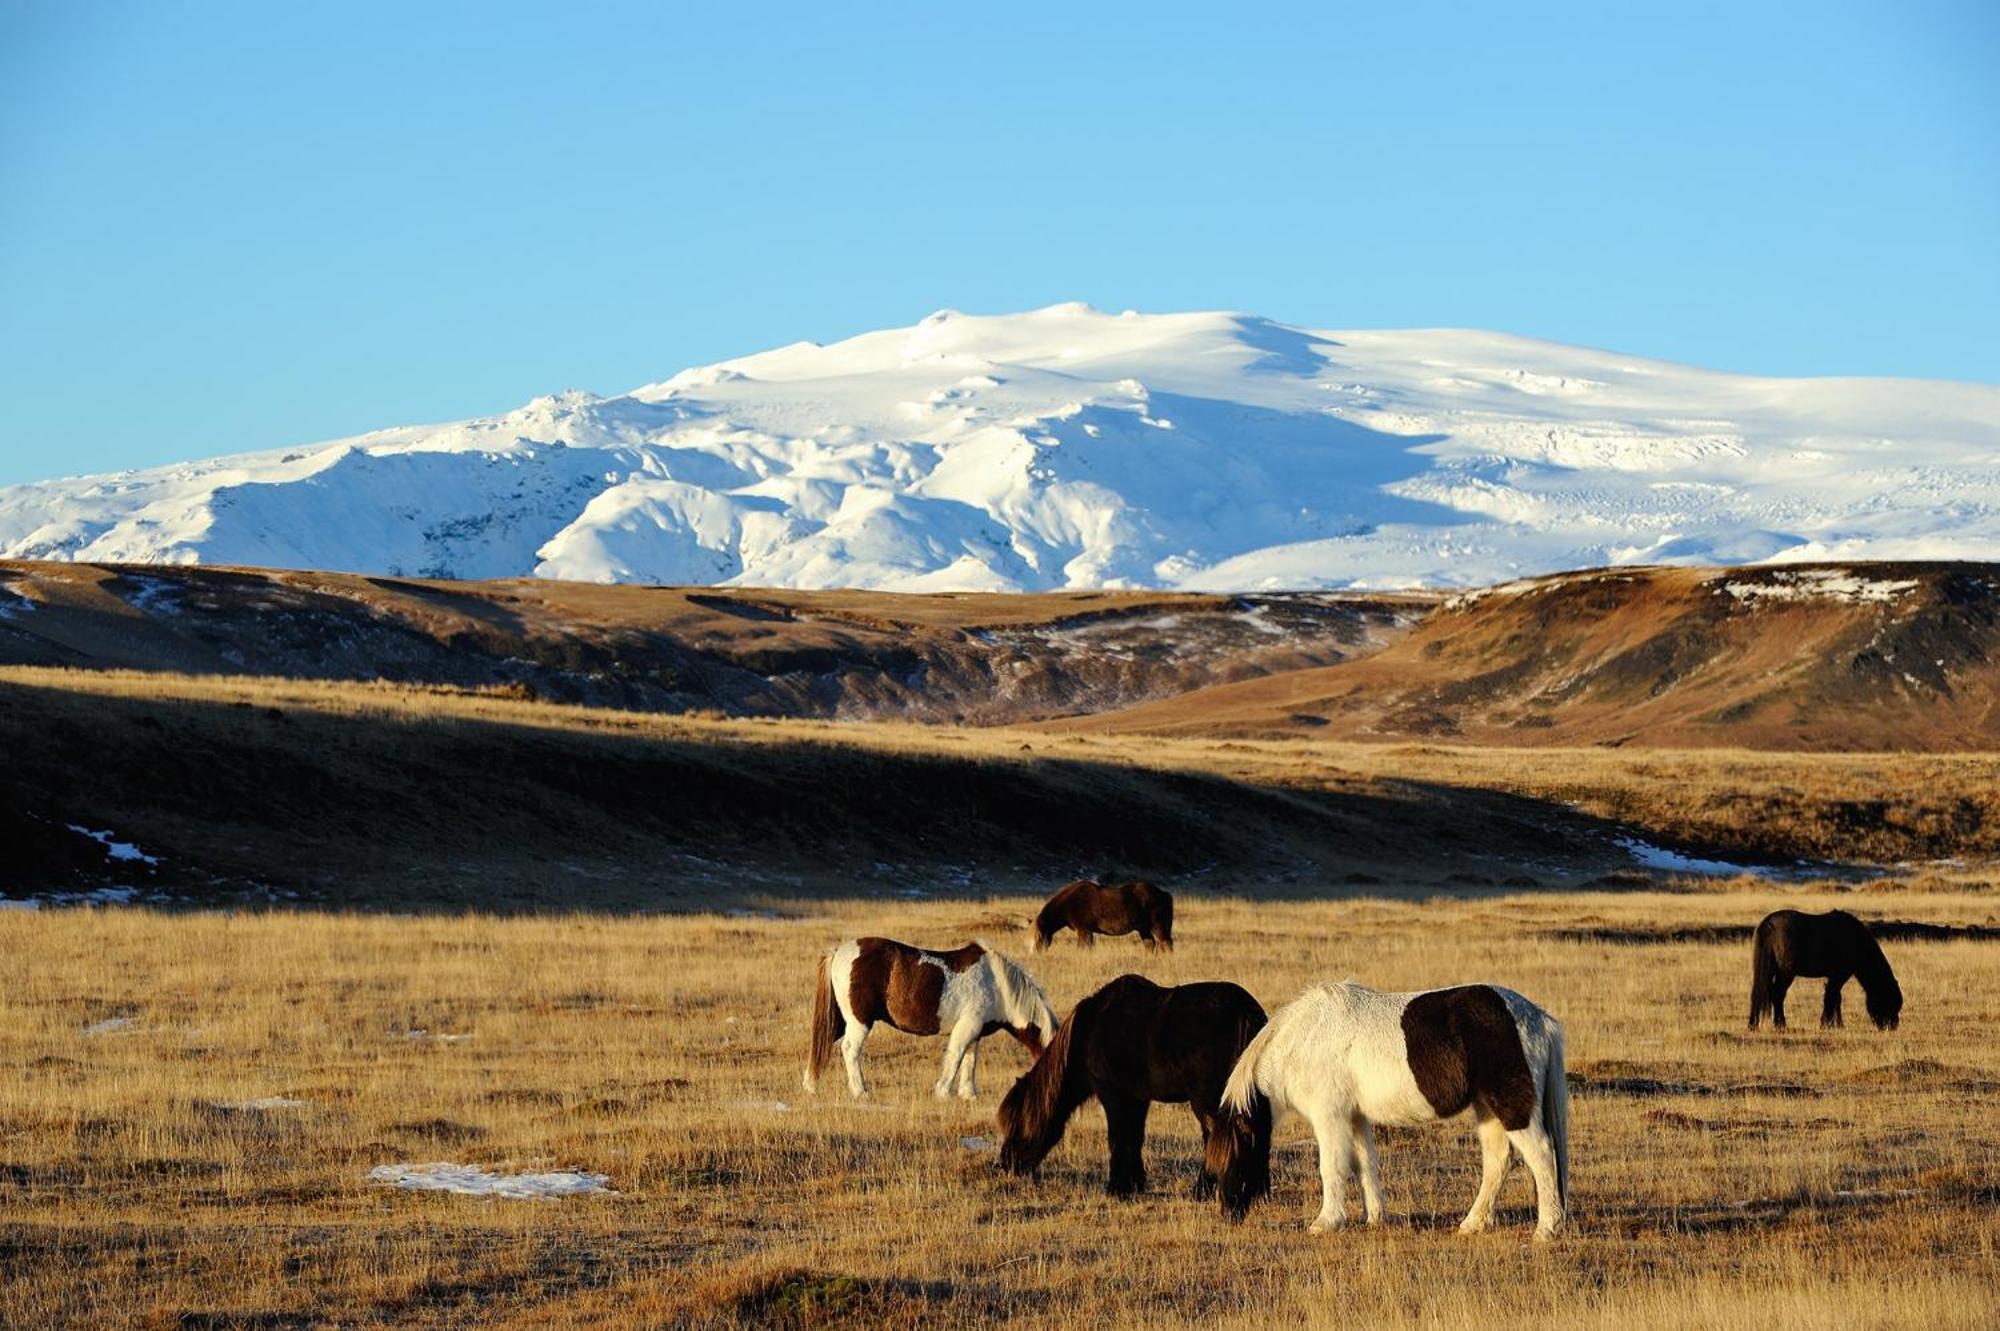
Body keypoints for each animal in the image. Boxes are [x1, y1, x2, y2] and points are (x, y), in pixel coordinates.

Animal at [804, 931, 1064, 1095]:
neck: (998, 984)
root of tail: (839, 951)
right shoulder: (966, 1029)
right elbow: (955, 1057)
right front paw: (943, 1092)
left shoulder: (975, 1032)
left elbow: (970, 1061)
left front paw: (969, 1094)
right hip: (860, 1021)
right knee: (850, 1050)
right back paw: (861, 1092)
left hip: (839, 1020)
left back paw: (811, 1087)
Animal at [996, 971, 1264, 1199]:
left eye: (1016, 1125)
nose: (1005, 1164)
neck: (1088, 1030)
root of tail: (1244, 1011)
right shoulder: (1137, 1098)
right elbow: (1134, 1138)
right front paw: (1134, 1184)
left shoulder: (1112, 1094)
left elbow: (1118, 1137)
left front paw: (1117, 1188)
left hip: (1207, 1100)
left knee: (1214, 1136)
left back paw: (1203, 1191)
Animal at [1032, 875, 1168, 947]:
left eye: (1039, 936)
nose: (1038, 951)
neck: (1067, 905)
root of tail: (1164, 893)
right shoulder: (1087, 930)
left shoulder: (1084, 929)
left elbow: (1083, 946)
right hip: (1143, 928)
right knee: (1150, 943)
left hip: (1157, 924)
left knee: (1165, 942)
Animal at [1208, 975, 1568, 1231]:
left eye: (1236, 1151)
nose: (1227, 1211)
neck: (1304, 1040)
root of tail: (1538, 1017)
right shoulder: (1354, 1116)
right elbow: (1365, 1164)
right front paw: (1375, 1216)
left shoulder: (1330, 1116)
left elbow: (1332, 1166)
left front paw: (1326, 1222)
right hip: (1487, 1109)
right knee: (1498, 1160)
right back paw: (1472, 1224)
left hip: (1512, 1107)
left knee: (1540, 1154)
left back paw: (1546, 1229)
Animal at [1752, 907, 1904, 1031]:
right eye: (1889, 999)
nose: (1892, 1026)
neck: (1856, 940)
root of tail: (1767, 925)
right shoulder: (1839, 975)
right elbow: (1832, 996)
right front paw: (1827, 1024)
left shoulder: (1835, 976)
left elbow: (1835, 997)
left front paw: (1837, 1024)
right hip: (1786, 973)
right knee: (1778, 993)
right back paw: (1781, 1025)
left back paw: (1754, 1025)